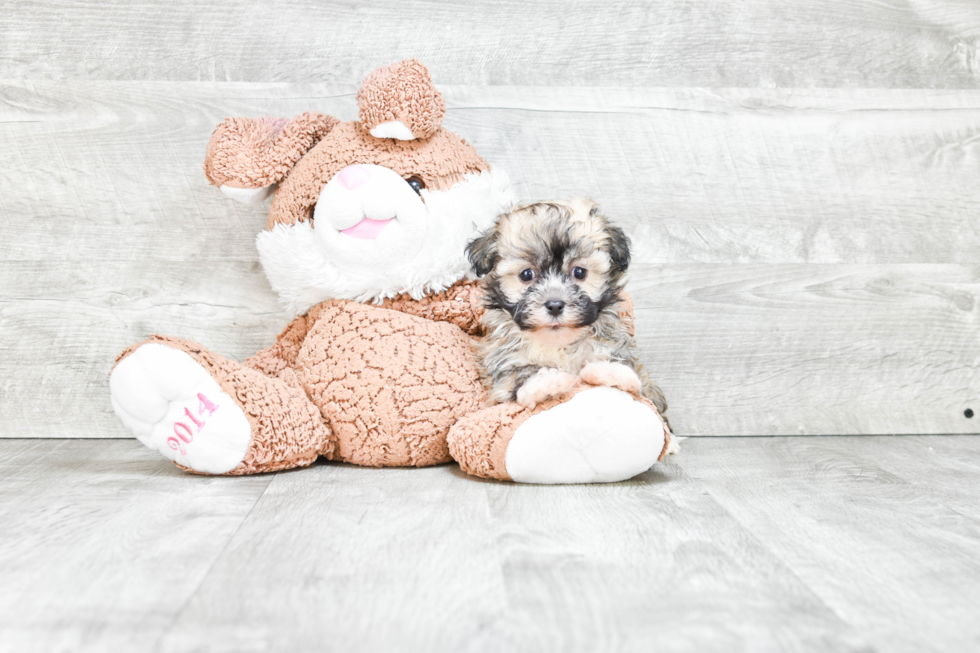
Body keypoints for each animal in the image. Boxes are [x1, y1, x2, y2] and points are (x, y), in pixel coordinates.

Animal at [466, 196, 668, 426]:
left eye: (579, 272)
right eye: (526, 274)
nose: (555, 305)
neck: (560, 344)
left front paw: (612, 372)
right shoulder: (503, 365)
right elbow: (518, 376)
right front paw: (545, 382)